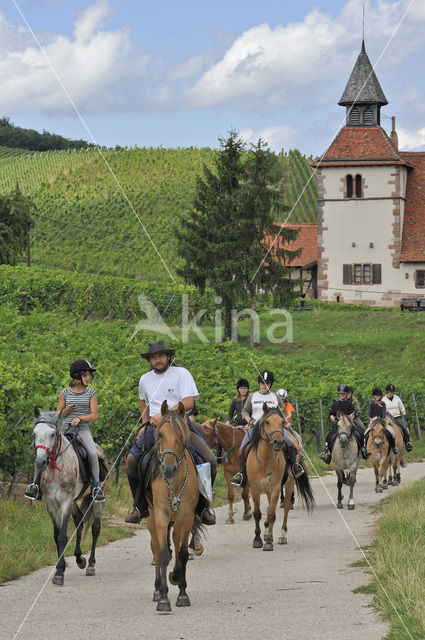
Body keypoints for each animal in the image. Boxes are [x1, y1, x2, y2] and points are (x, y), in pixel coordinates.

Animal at [31, 410, 104, 584]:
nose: (40, 462)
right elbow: (56, 535)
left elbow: (63, 536)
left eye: (52, 434)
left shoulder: (65, 502)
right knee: (79, 521)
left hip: (95, 501)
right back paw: (79, 559)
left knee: (95, 528)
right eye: (34, 434)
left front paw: (59, 573)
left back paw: (90, 564)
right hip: (75, 501)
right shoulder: (51, 504)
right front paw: (62, 566)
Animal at [146, 400, 200, 616]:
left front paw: (181, 591)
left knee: (176, 546)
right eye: (160, 434)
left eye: (181, 435)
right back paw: (156, 590)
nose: (168, 469)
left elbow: (182, 554)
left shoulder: (186, 517)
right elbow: (162, 554)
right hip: (150, 518)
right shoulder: (160, 515)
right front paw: (163, 599)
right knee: (155, 547)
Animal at [245, 404, 314, 552]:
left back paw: (282, 536)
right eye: (267, 422)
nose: (278, 442)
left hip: (289, 483)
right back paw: (266, 533)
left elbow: (272, 514)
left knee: (286, 506)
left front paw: (269, 542)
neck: (265, 461)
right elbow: (258, 513)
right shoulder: (255, 489)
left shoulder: (276, 488)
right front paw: (258, 539)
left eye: (282, 422)